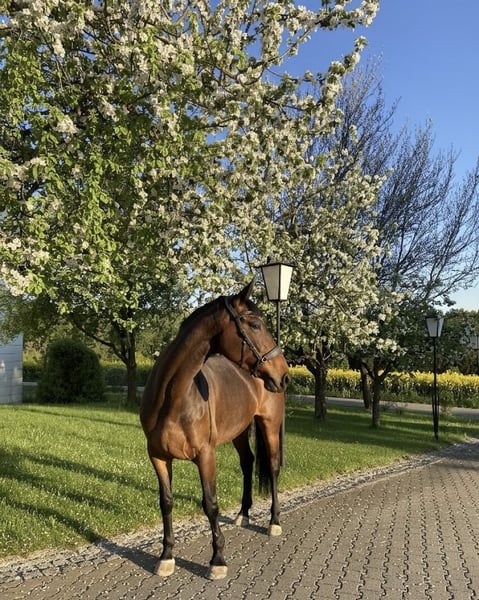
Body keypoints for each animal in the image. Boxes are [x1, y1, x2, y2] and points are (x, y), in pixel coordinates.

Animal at [140, 279, 290, 580]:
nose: (284, 374)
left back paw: (274, 522)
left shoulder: (205, 455)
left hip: (269, 425)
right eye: (254, 325)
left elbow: (210, 504)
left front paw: (217, 560)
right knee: (248, 462)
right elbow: (166, 502)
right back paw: (243, 514)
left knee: (273, 467)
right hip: (240, 431)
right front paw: (166, 557)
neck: (173, 398)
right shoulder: (158, 456)